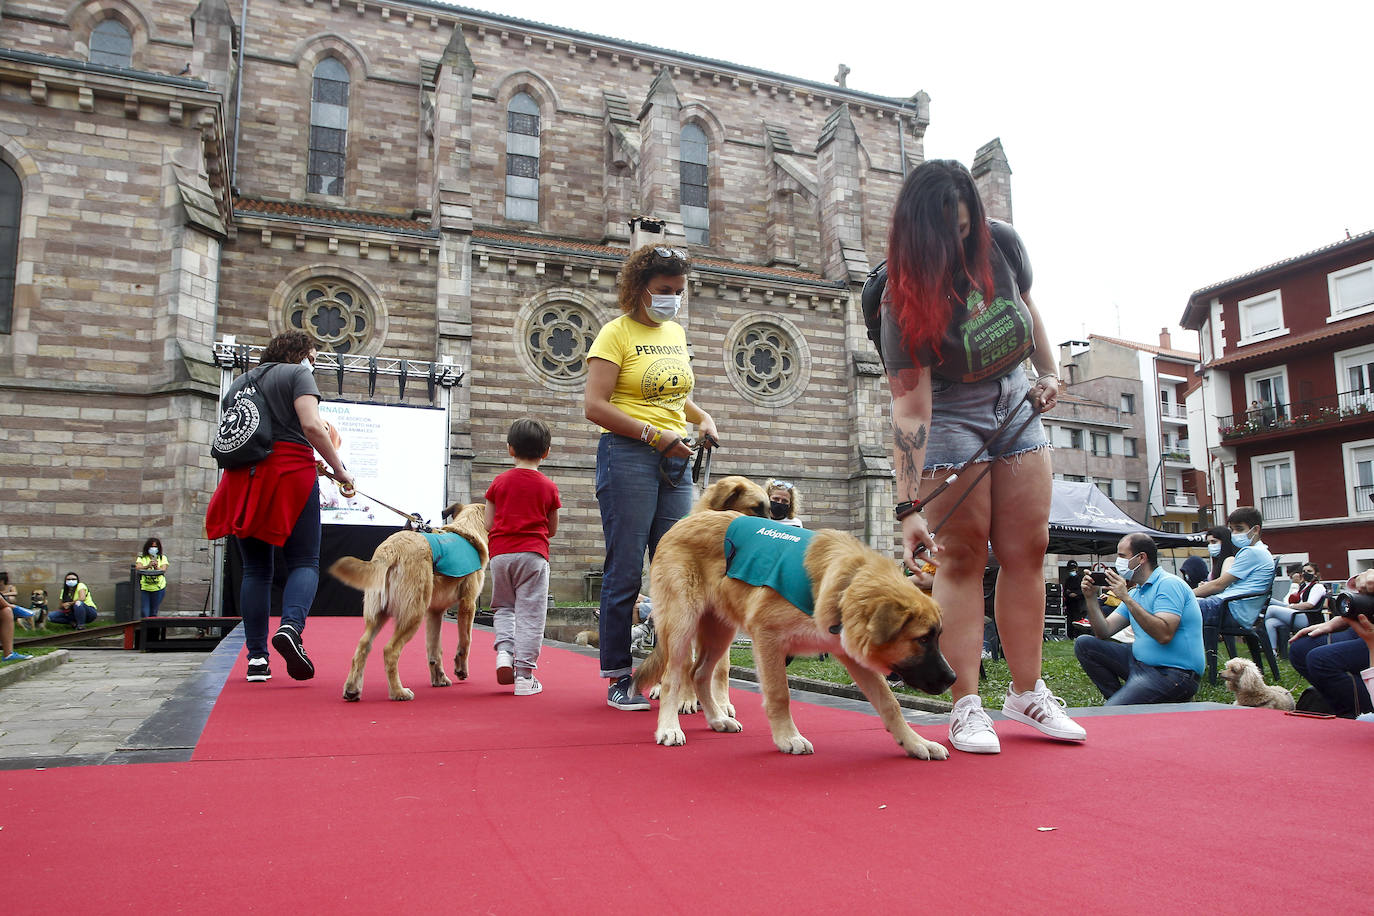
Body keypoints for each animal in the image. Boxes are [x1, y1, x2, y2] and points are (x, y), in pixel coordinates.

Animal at [328, 502, 489, 703]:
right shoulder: (468, 604)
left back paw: (352, 689)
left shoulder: (435, 612)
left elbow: (434, 649)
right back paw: (398, 692)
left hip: (379, 615)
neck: (468, 529)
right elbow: (466, 641)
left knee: (363, 646)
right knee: (390, 651)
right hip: (414, 614)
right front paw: (460, 670)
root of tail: (390, 550)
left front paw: (439, 678)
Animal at [632, 513, 956, 758]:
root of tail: (682, 522)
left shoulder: (849, 654)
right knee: (674, 676)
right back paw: (669, 727)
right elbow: (779, 694)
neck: (845, 584)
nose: (953, 679)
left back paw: (717, 719)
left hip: (720, 631)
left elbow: (890, 704)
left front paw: (915, 742)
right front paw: (787, 737)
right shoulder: (768, 639)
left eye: (936, 636)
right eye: (923, 639)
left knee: (699, 673)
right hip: (682, 625)